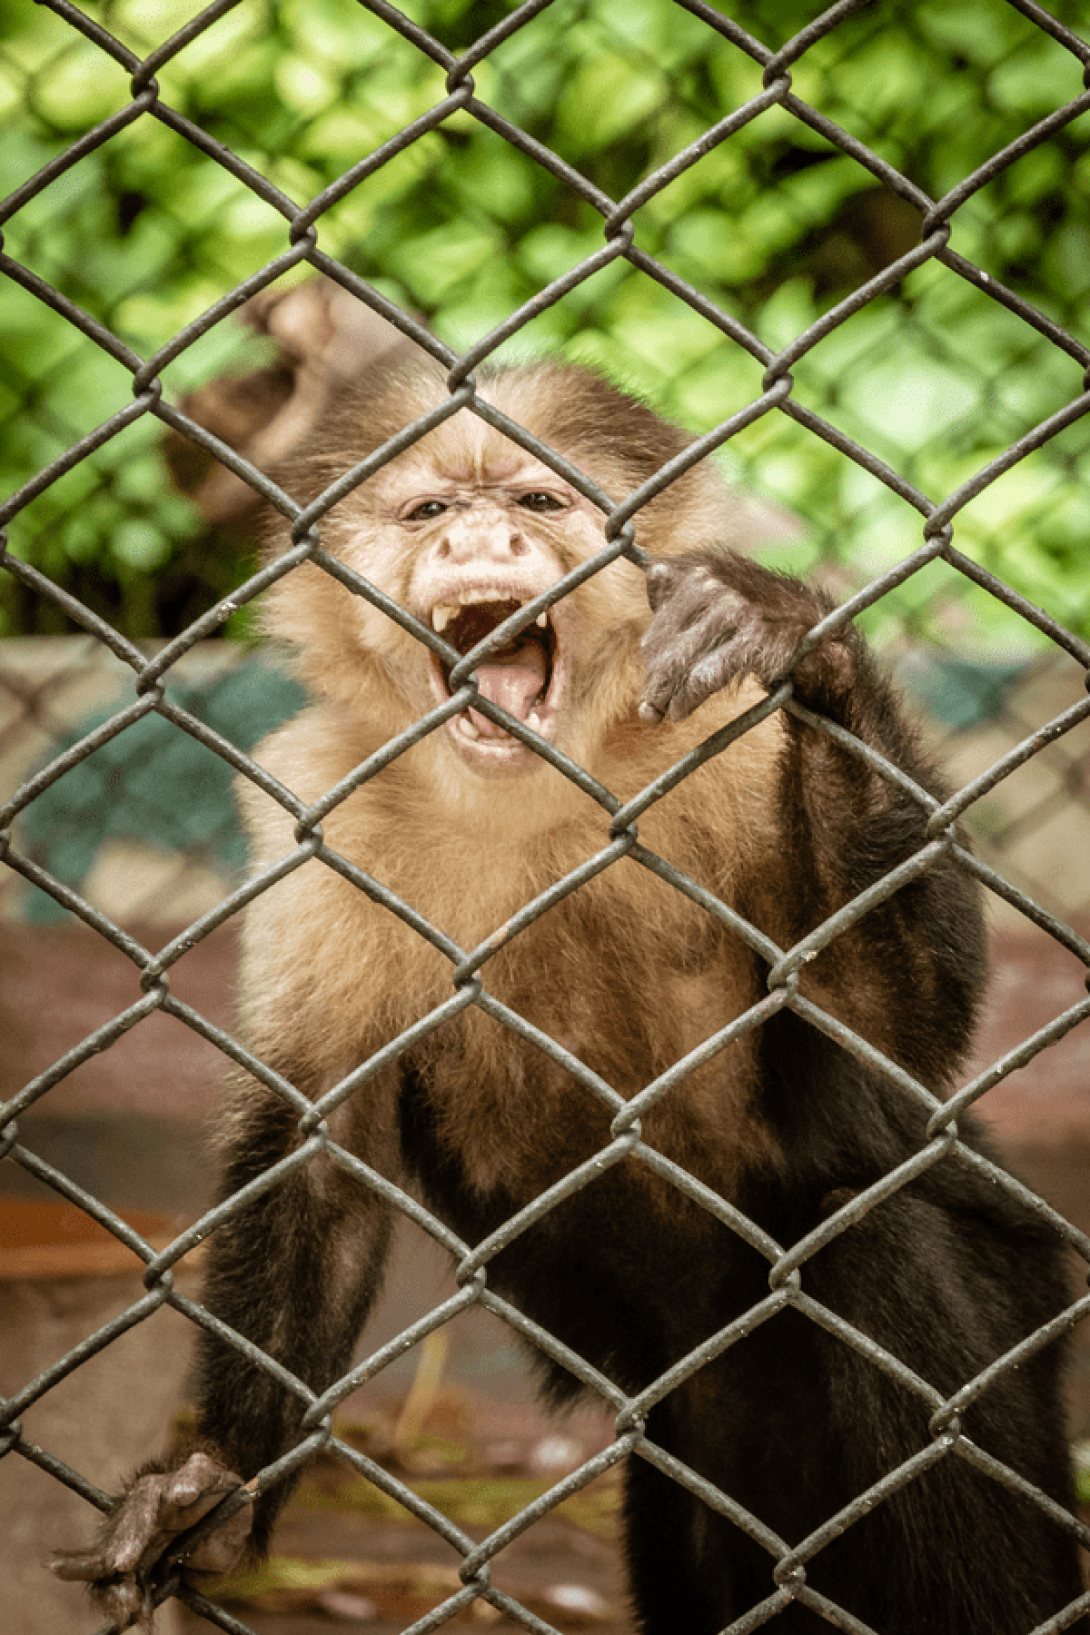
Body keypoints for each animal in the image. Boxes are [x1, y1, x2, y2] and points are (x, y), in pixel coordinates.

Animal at [55, 361, 1085, 1635]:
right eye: (430, 512)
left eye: (538, 502)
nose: (482, 537)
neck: (536, 789)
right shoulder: (315, 806)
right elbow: (321, 1146)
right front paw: (217, 1483)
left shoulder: (727, 747)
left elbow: (877, 1049)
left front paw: (802, 650)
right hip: (701, 1449)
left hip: (1017, 1322)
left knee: (875, 1230)